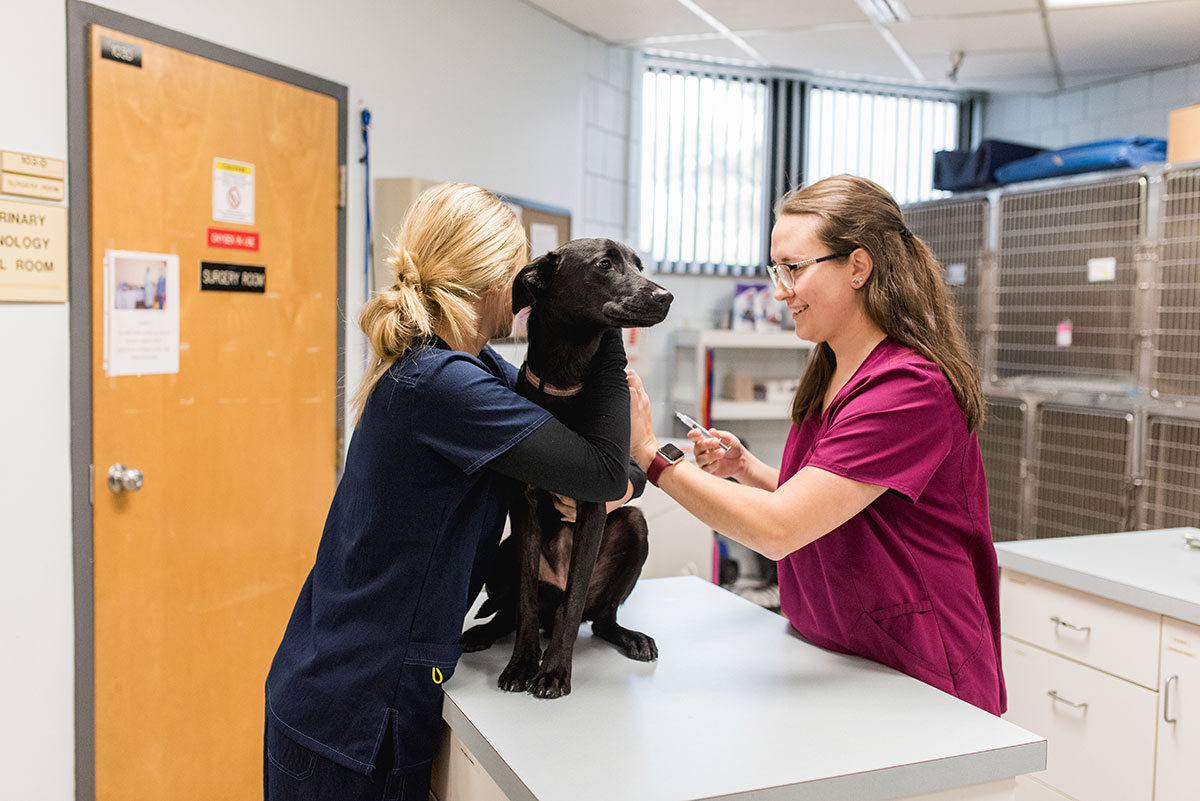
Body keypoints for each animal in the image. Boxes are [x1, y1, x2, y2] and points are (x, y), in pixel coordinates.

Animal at [460, 236, 676, 695]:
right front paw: (523, 664)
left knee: (596, 617)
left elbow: (574, 603)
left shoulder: (596, 505)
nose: (666, 296)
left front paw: (555, 669)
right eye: (604, 264)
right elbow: (524, 598)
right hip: (502, 552)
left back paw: (630, 637)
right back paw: (483, 633)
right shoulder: (523, 506)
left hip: (632, 527)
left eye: (639, 265)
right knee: (513, 611)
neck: (565, 377)